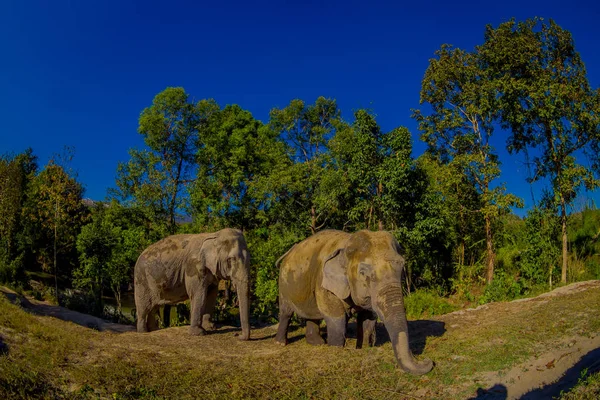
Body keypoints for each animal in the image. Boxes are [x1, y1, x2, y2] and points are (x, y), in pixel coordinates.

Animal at [274, 228, 434, 376]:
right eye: (363, 273)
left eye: (402, 267)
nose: (427, 360)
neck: (346, 245)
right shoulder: (324, 283)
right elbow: (336, 319)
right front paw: (336, 349)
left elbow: (367, 319)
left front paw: (362, 348)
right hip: (283, 282)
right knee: (286, 312)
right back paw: (281, 343)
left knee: (313, 315)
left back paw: (317, 343)